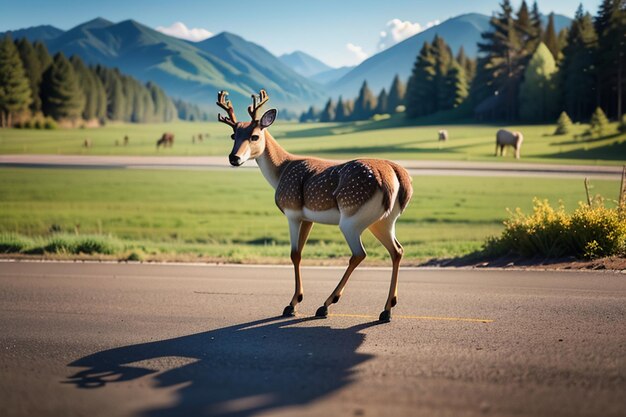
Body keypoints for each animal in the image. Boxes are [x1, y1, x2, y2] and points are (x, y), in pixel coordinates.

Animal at [217, 88, 412, 322]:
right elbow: (300, 253)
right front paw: (296, 300)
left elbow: (294, 254)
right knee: (397, 250)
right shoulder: (307, 218)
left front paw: (292, 304)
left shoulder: (291, 211)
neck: (281, 170)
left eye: (254, 136)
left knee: (359, 254)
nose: (234, 158)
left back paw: (326, 305)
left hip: (352, 216)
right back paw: (386, 310)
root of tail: (397, 176)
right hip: (383, 220)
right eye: (233, 135)